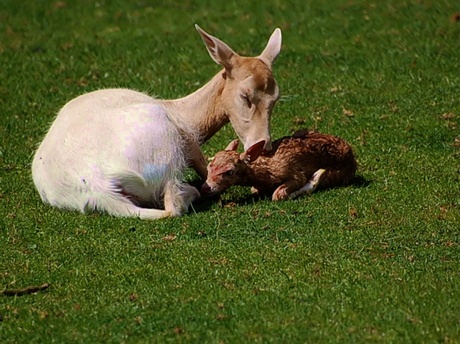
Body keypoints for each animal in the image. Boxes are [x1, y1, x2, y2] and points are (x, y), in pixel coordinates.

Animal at [31, 25, 280, 219]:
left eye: (276, 98)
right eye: (245, 96)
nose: (264, 146)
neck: (182, 112)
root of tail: (97, 187)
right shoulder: (188, 141)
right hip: (167, 150)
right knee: (173, 206)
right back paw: (191, 191)